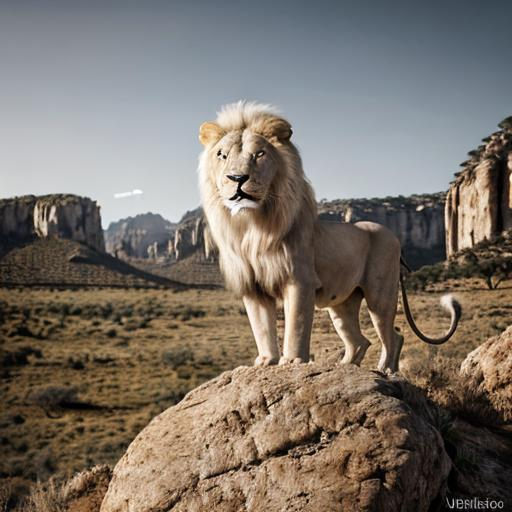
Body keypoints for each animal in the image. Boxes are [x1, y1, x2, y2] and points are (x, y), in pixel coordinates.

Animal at [198, 101, 462, 372]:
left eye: (259, 154)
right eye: (222, 155)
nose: (237, 178)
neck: (252, 226)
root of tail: (395, 238)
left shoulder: (300, 280)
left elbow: (296, 325)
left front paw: (292, 361)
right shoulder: (253, 288)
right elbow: (261, 327)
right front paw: (265, 361)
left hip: (381, 293)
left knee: (393, 335)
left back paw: (385, 370)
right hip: (342, 303)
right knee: (360, 341)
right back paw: (344, 366)